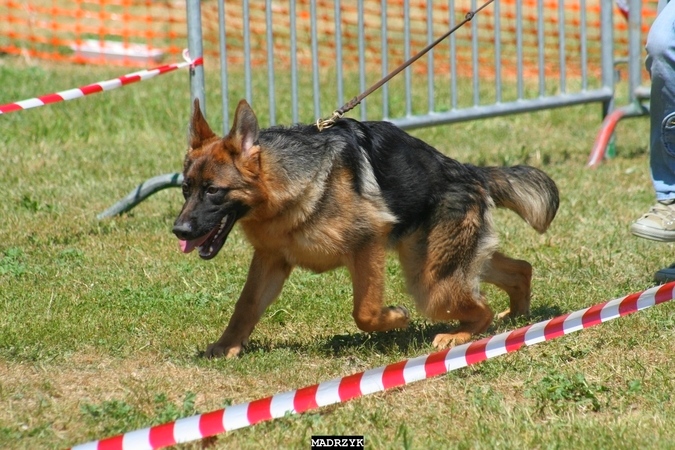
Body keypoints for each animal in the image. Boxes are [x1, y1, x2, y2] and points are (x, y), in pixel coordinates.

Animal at [174, 99, 560, 358]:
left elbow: (364, 311)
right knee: (519, 270)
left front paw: (396, 319)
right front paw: (226, 346)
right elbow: (246, 305)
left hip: (429, 282)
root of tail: (470, 171)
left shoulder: (366, 244)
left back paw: (459, 335)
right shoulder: (271, 260)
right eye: (185, 189)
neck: (285, 185)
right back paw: (517, 317)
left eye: (213, 190)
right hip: (441, 263)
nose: (179, 230)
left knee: (483, 308)